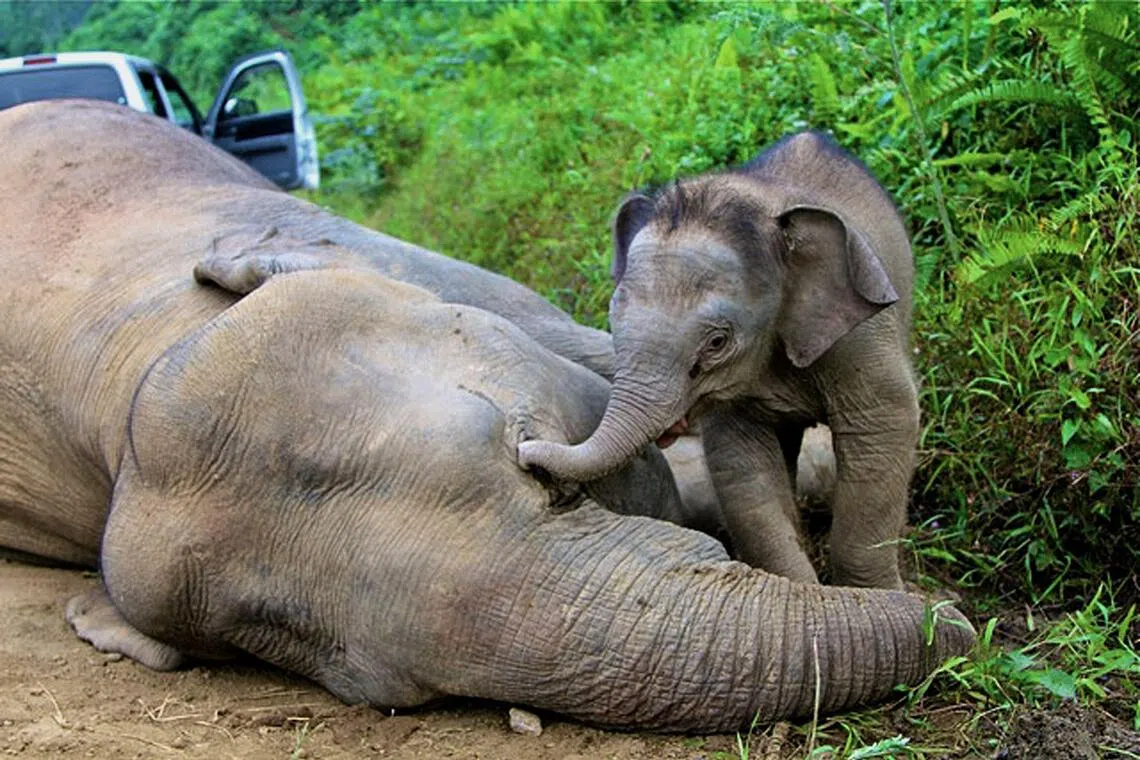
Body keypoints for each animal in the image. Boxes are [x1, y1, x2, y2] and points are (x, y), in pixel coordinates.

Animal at [519, 132, 918, 589]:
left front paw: (880, 595)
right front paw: (801, 589)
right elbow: (742, 464)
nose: (525, 452)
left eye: (716, 342)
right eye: (611, 319)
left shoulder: (860, 336)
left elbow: (884, 426)